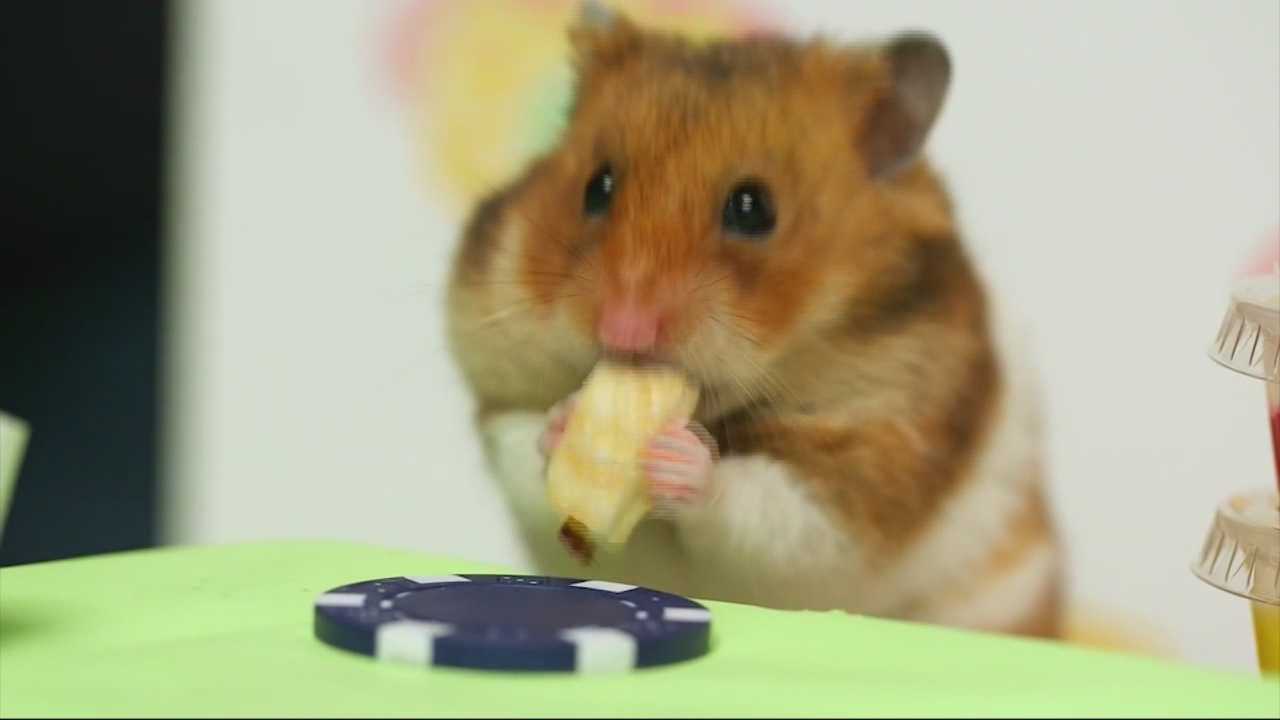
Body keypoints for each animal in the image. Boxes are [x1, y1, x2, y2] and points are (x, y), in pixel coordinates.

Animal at [445, 2, 1064, 635]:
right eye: (598, 187)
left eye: (753, 208)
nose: (623, 329)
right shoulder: (501, 403)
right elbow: (523, 444)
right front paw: (566, 423)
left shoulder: (870, 468)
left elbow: (762, 506)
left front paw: (678, 458)